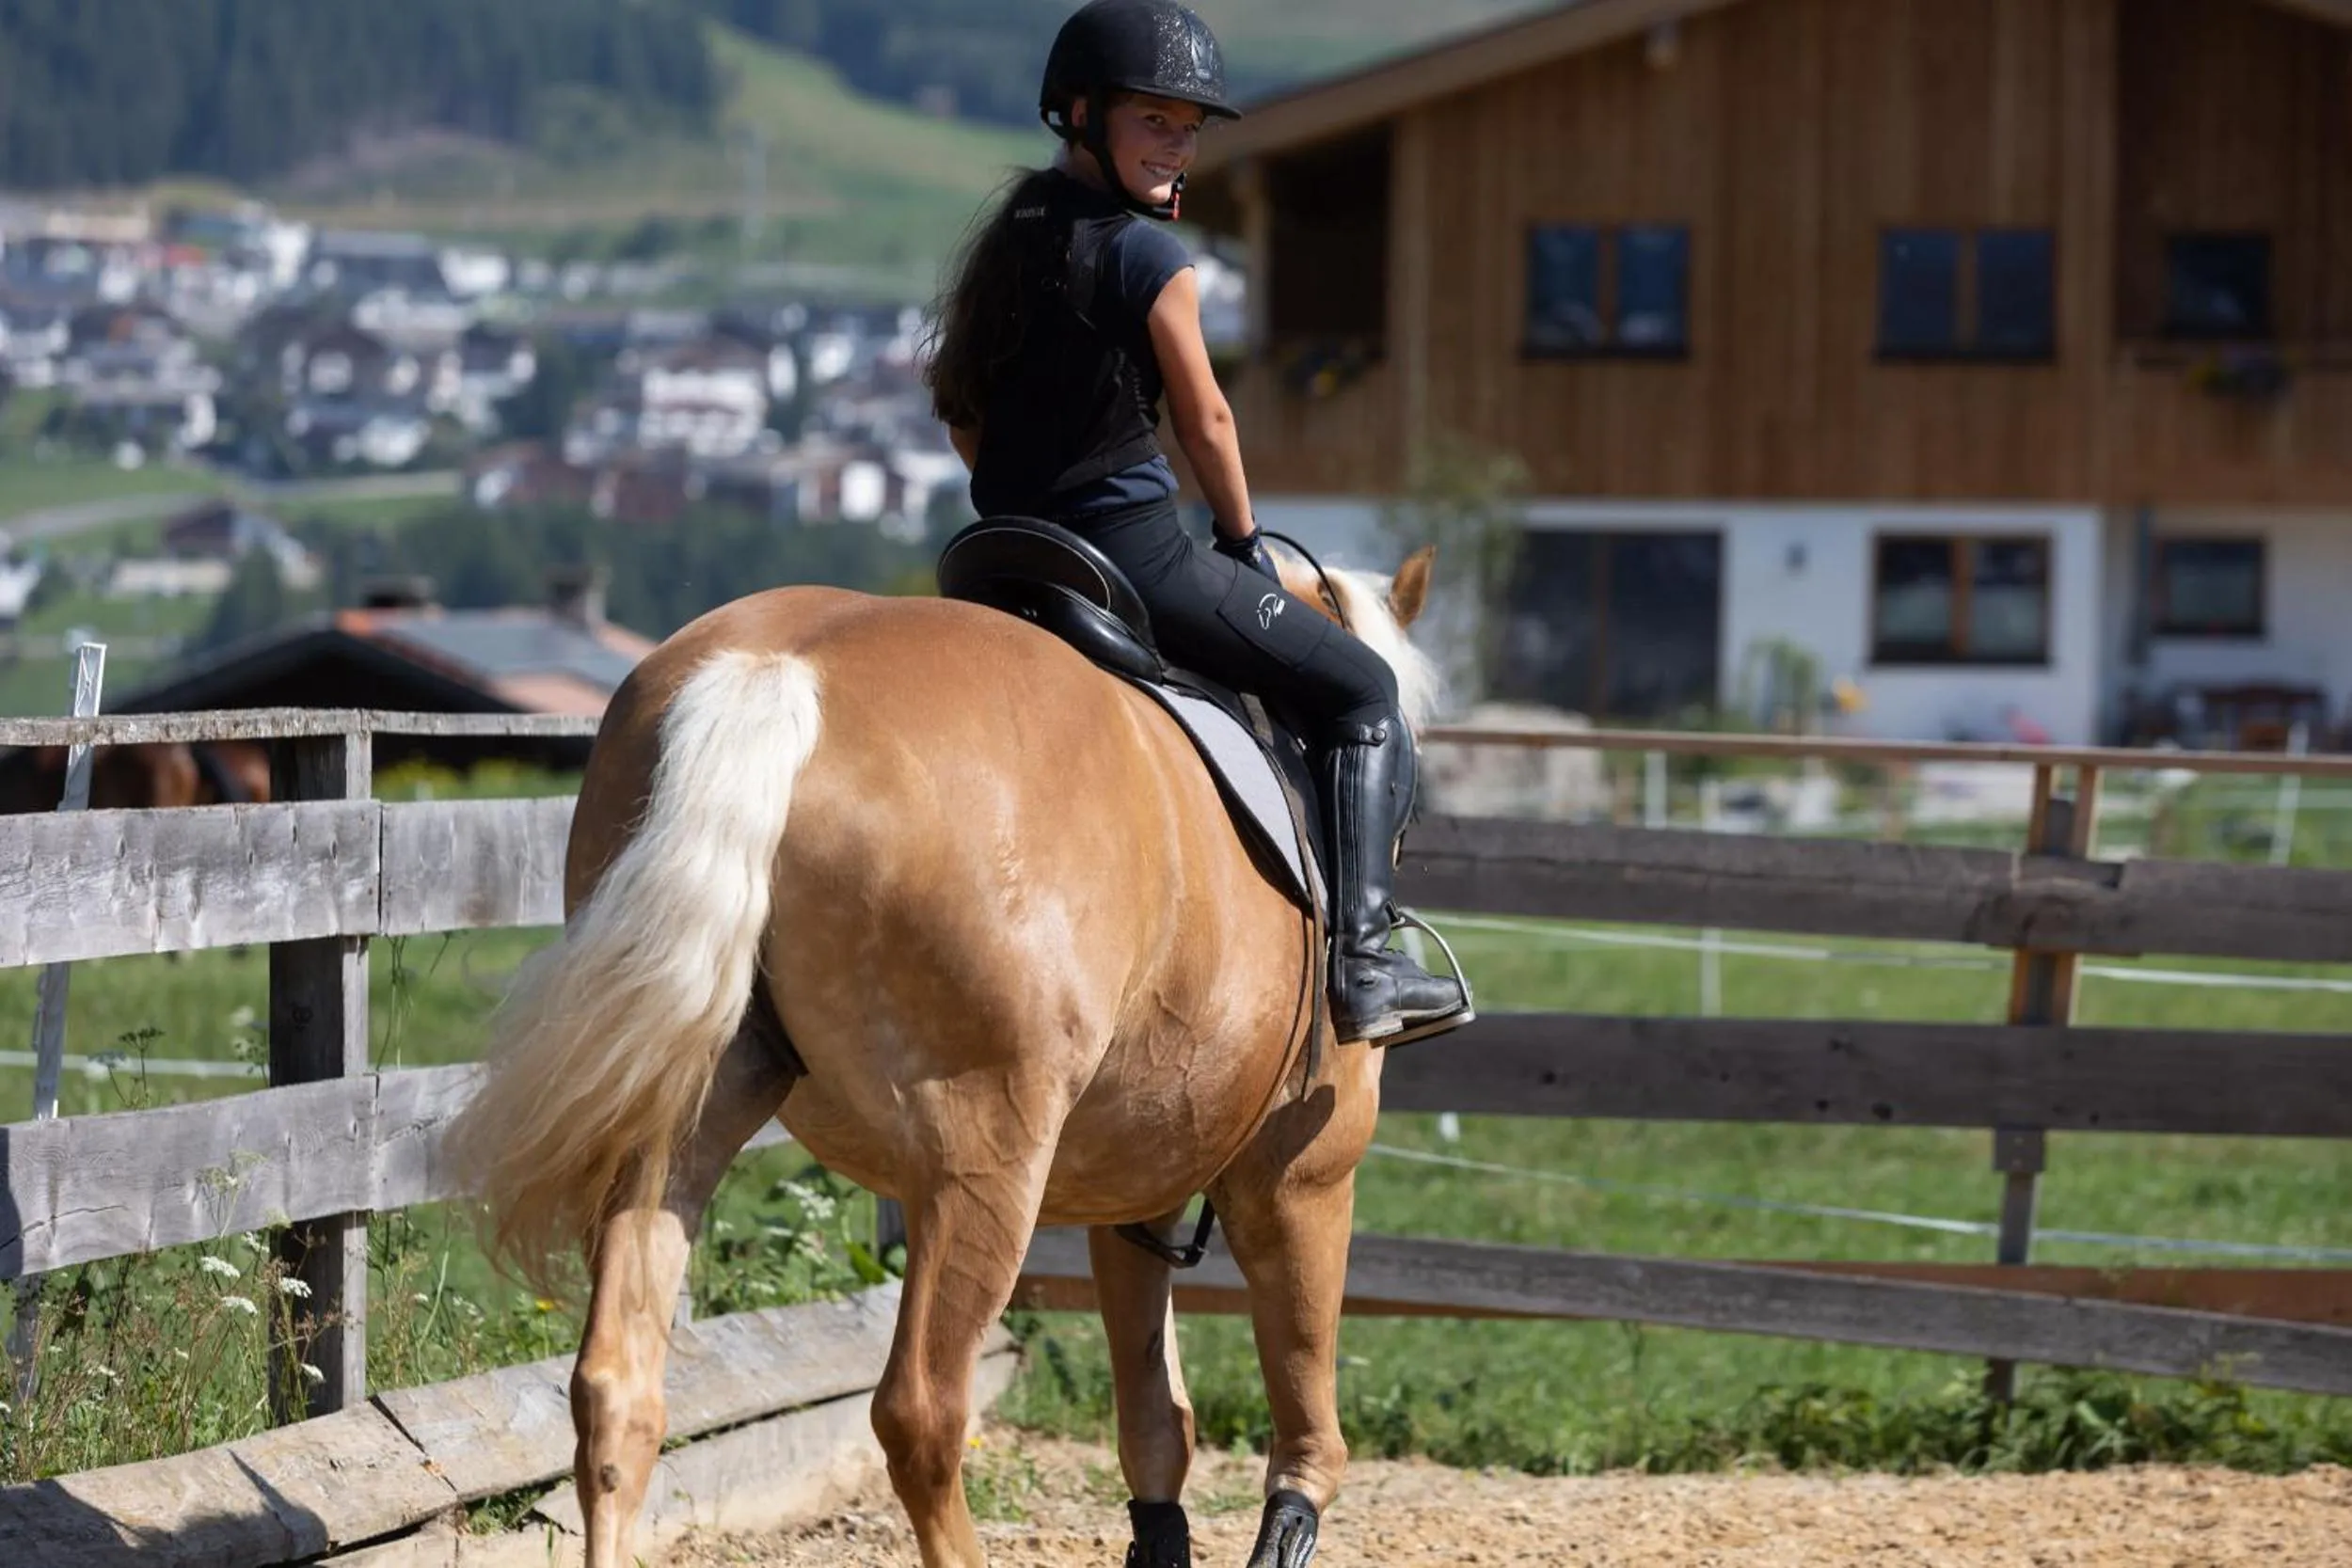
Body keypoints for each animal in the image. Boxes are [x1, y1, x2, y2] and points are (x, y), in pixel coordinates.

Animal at [448, 543, 1445, 1568]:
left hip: (681, 1112)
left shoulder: (1137, 1178)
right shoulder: (1302, 1168)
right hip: (983, 1155)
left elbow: (1154, 1410)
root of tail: (779, 670)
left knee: (617, 1387)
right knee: (921, 1409)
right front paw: (1290, 1515)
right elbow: (1300, 1380)